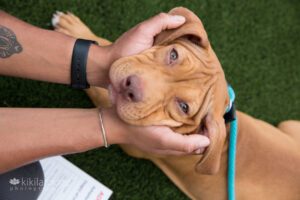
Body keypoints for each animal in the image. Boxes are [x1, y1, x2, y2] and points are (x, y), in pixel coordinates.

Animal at [52, 7, 300, 199]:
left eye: (184, 107)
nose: (130, 87)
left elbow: (100, 94)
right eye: (173, 54)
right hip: (290, 125)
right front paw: (74, 29)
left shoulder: (132, 142)